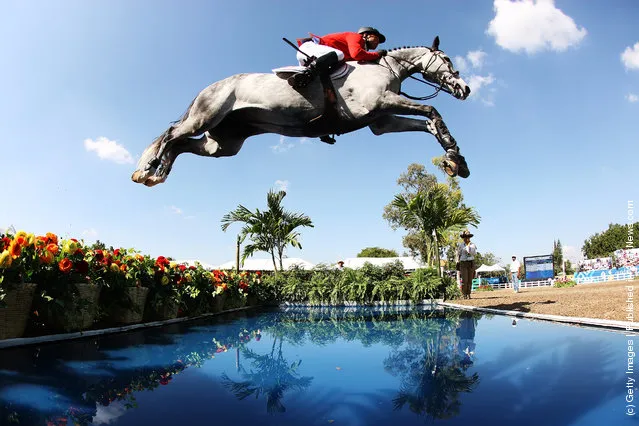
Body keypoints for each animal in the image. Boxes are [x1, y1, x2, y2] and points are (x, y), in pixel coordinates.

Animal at [131, 34, 470, 185]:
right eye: (447, 61)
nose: (464, 89)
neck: (387, 68)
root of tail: (211, 86)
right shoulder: (379, 104)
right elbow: (433, 111)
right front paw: (455, 158)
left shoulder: (381, 122)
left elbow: (428, 123)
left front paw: (455, 160)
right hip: (206, 115)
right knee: (171, 134)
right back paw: (147, 168)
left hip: (224, 143)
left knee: (182, 145)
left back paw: (157, 174)